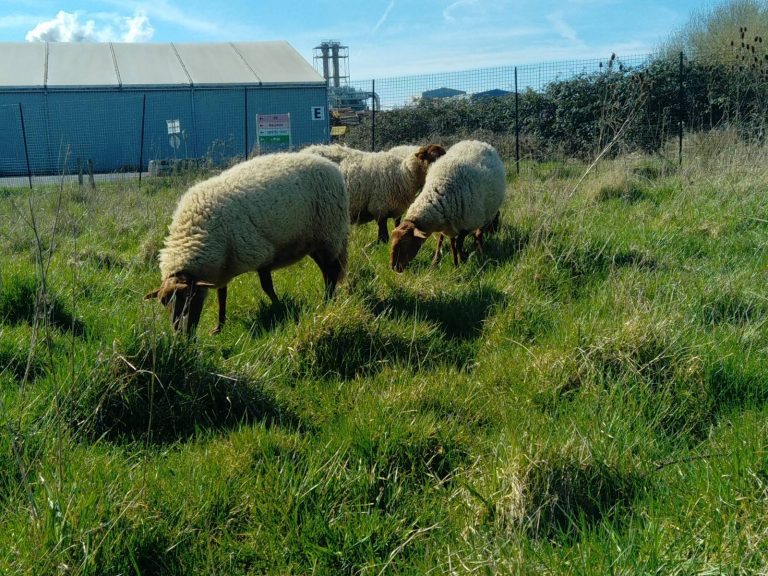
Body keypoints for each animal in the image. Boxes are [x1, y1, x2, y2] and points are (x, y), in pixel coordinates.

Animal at [144, 152, 350, 335]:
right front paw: (219, 327)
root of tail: (332, 167)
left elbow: (267, 286)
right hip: (315, 241)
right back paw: (328, 299)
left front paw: (279, 308)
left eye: (187, 298)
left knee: (332, 271)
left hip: (328, 233)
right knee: (327, 271)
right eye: (163, 303)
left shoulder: (261, 253)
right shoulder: (221, 270)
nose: (180, 335)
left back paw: (326, 302)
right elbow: (222, 296)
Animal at [390, 140, 506, 272]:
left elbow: (458, 244)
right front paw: (455, 265)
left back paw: (481, 251)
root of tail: (479, 142)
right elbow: (452, 245)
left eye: (405, 244)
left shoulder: (466, 224)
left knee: (479, 234)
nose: (394, 268)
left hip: (486, 214)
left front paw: (463, 259)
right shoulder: (450, 225)